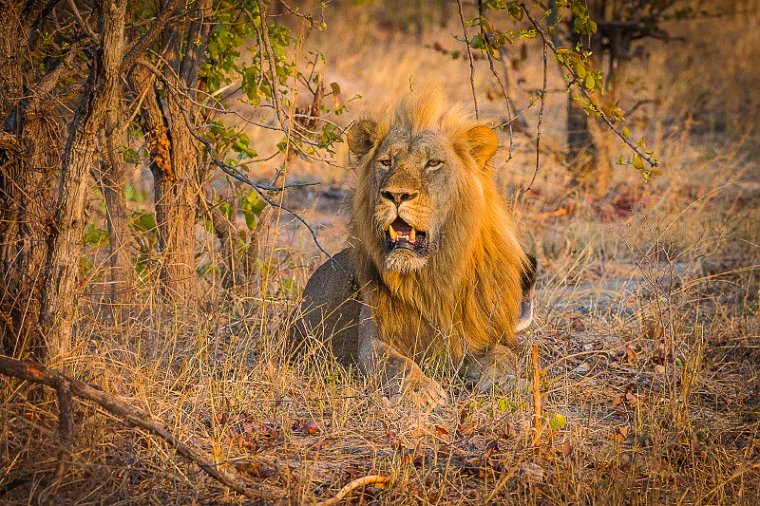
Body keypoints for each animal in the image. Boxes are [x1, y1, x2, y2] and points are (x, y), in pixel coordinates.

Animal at [290, 90, 536, 408]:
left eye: (432, 163)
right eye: (385, 162)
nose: (396, 195)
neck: (431, 277)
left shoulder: (476, 332)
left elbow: (503, 354)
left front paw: (505, 380)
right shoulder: (375, 339)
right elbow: (396, 363)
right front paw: (422, 390)